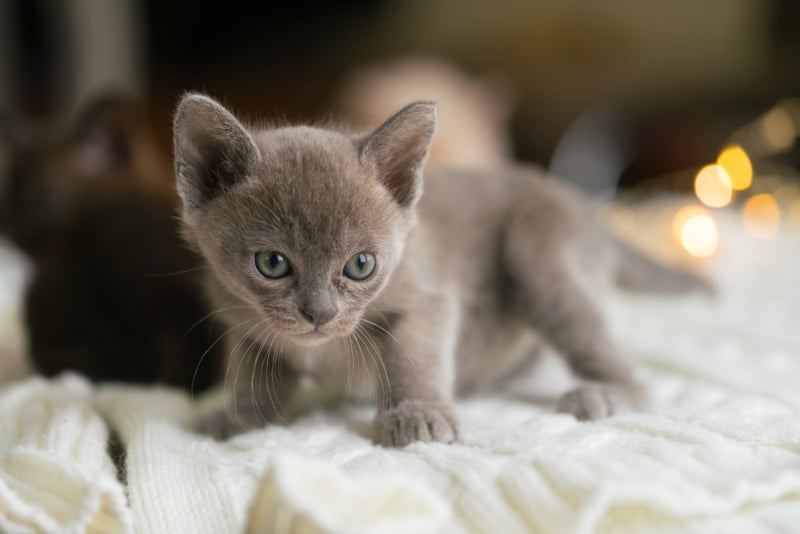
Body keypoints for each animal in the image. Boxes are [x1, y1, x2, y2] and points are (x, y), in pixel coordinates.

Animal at [175, 93, 712, 448]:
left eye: (361, 265)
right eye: (272, 263)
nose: (319, 314)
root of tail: (585, 209)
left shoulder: (427, 296)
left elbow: (414, 356)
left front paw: (418, 415)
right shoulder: (240, 319)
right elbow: (252, 370)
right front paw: (243, 415)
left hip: (538, 256)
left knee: (616, 360)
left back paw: (605, 393)